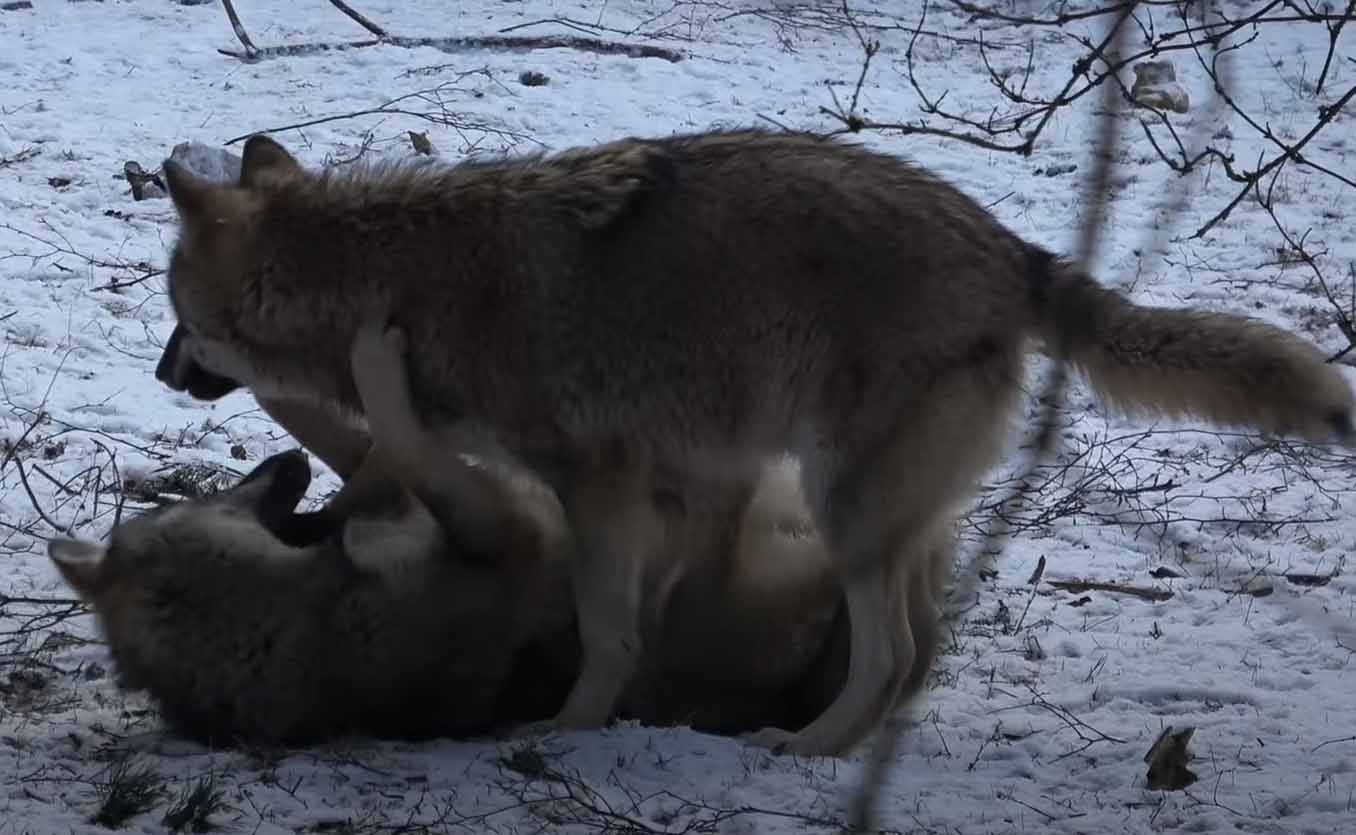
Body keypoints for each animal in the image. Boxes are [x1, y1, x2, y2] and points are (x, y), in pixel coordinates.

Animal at [155, 128, 1345, 759]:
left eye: (177, 316)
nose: (163, 376)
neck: (389, 276)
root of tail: (1010, 246)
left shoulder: (598, 485)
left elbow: (606, 629)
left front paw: (570, 723)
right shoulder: (675, 479)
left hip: (845, 505)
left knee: (893, 652)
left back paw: (806, 749)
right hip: (884, 513)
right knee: (914, 646)